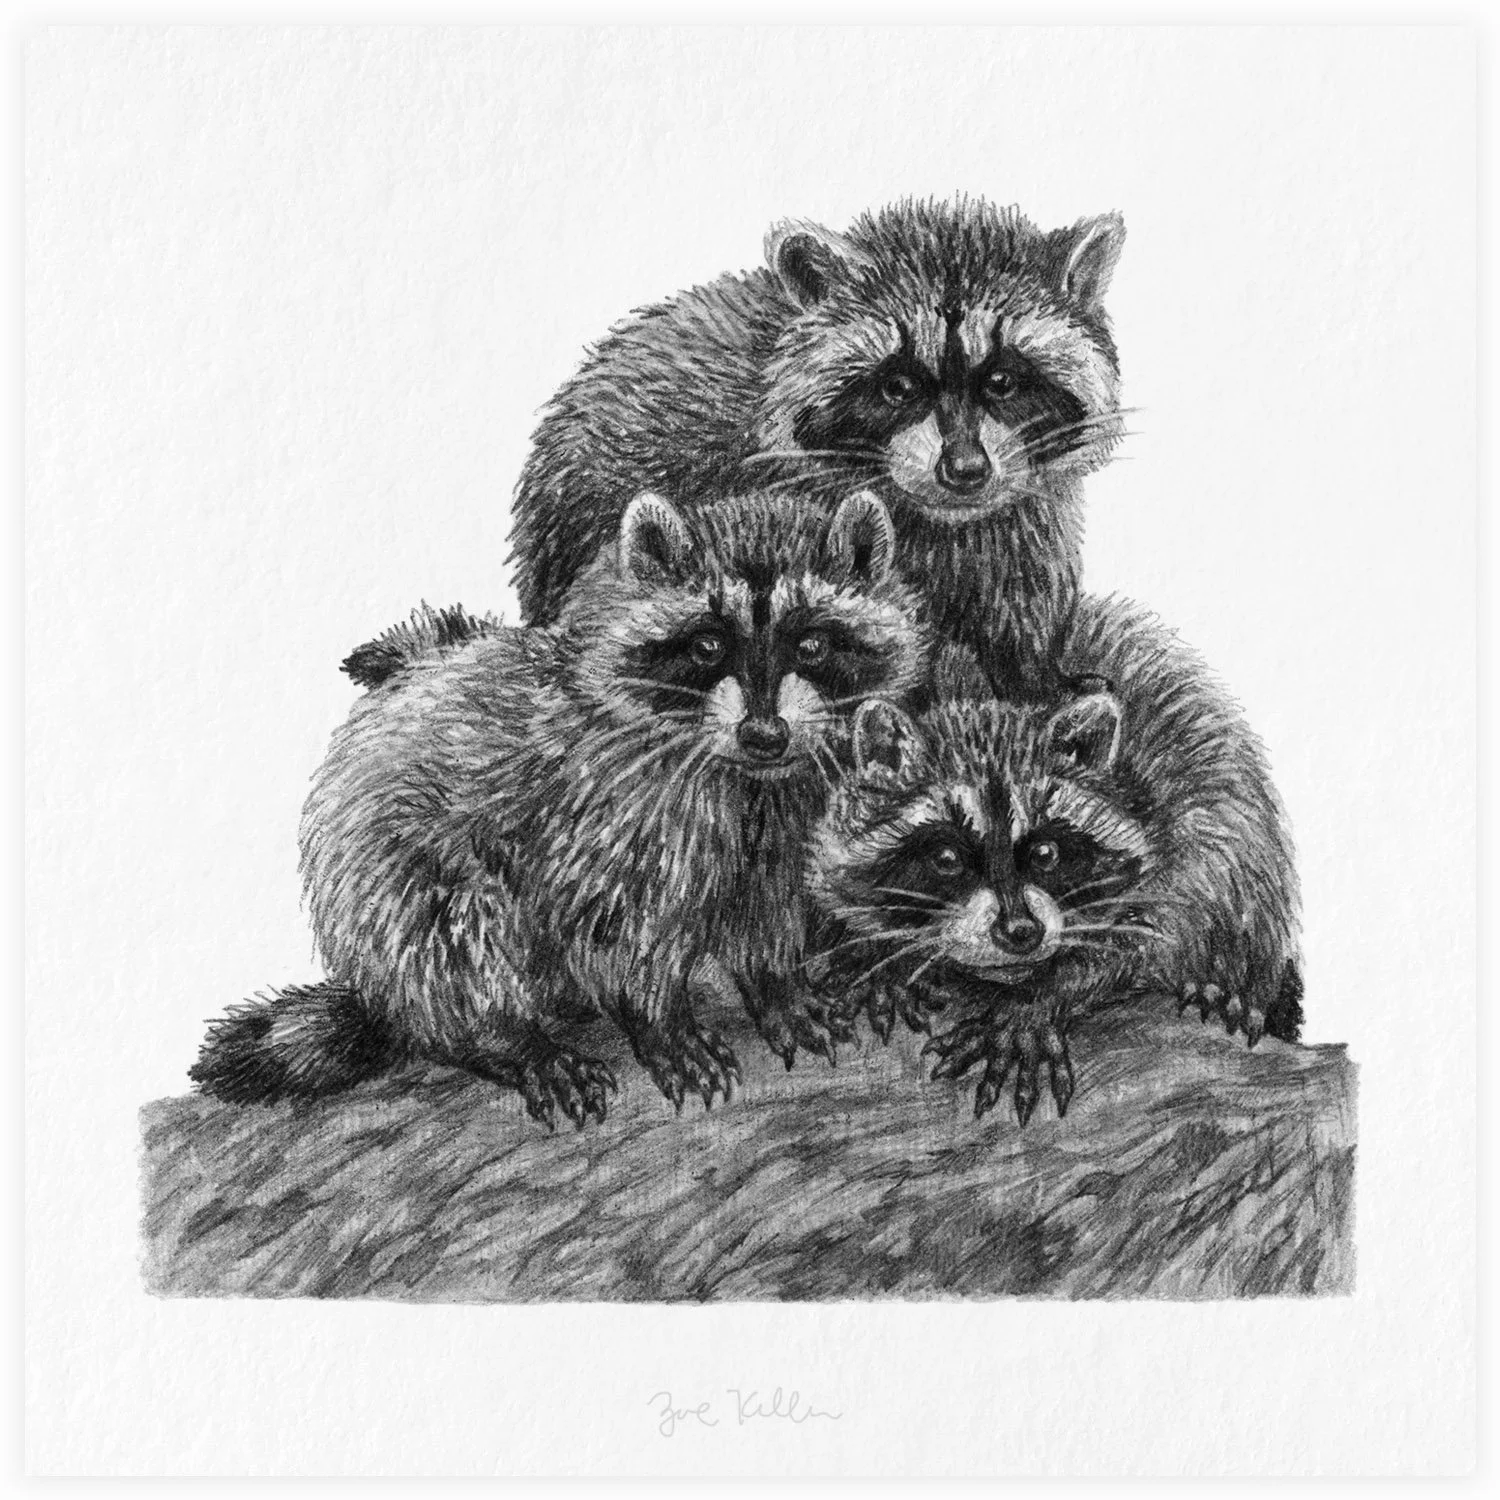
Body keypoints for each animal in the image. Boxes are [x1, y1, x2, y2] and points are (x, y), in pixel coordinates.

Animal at [190, 489, 929, 1127]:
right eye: (707, 644)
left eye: (813, 644)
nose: (766, 734)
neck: (742, 773)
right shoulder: (600, 814)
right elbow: (618, 928)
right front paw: (660, 1021)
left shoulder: (784, 815)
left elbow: (765, 906)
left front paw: (776, 986)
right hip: (388, 868)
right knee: (452, 942)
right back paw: (508, 1039)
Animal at [510, 196, 1126, 695]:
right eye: (898, 387)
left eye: (1001, 381)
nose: (964, 469)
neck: (945, 520)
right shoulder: (766, 495)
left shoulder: (1021, 516)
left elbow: (1022, 596)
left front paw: (1037, 678)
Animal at [805, 592, 1303, 1124]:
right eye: (946, 857)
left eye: (1045, 853)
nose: (1020, 931)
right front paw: (880, 962)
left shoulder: (1174, 818)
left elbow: (1152, 930)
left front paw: (1037, 1002)